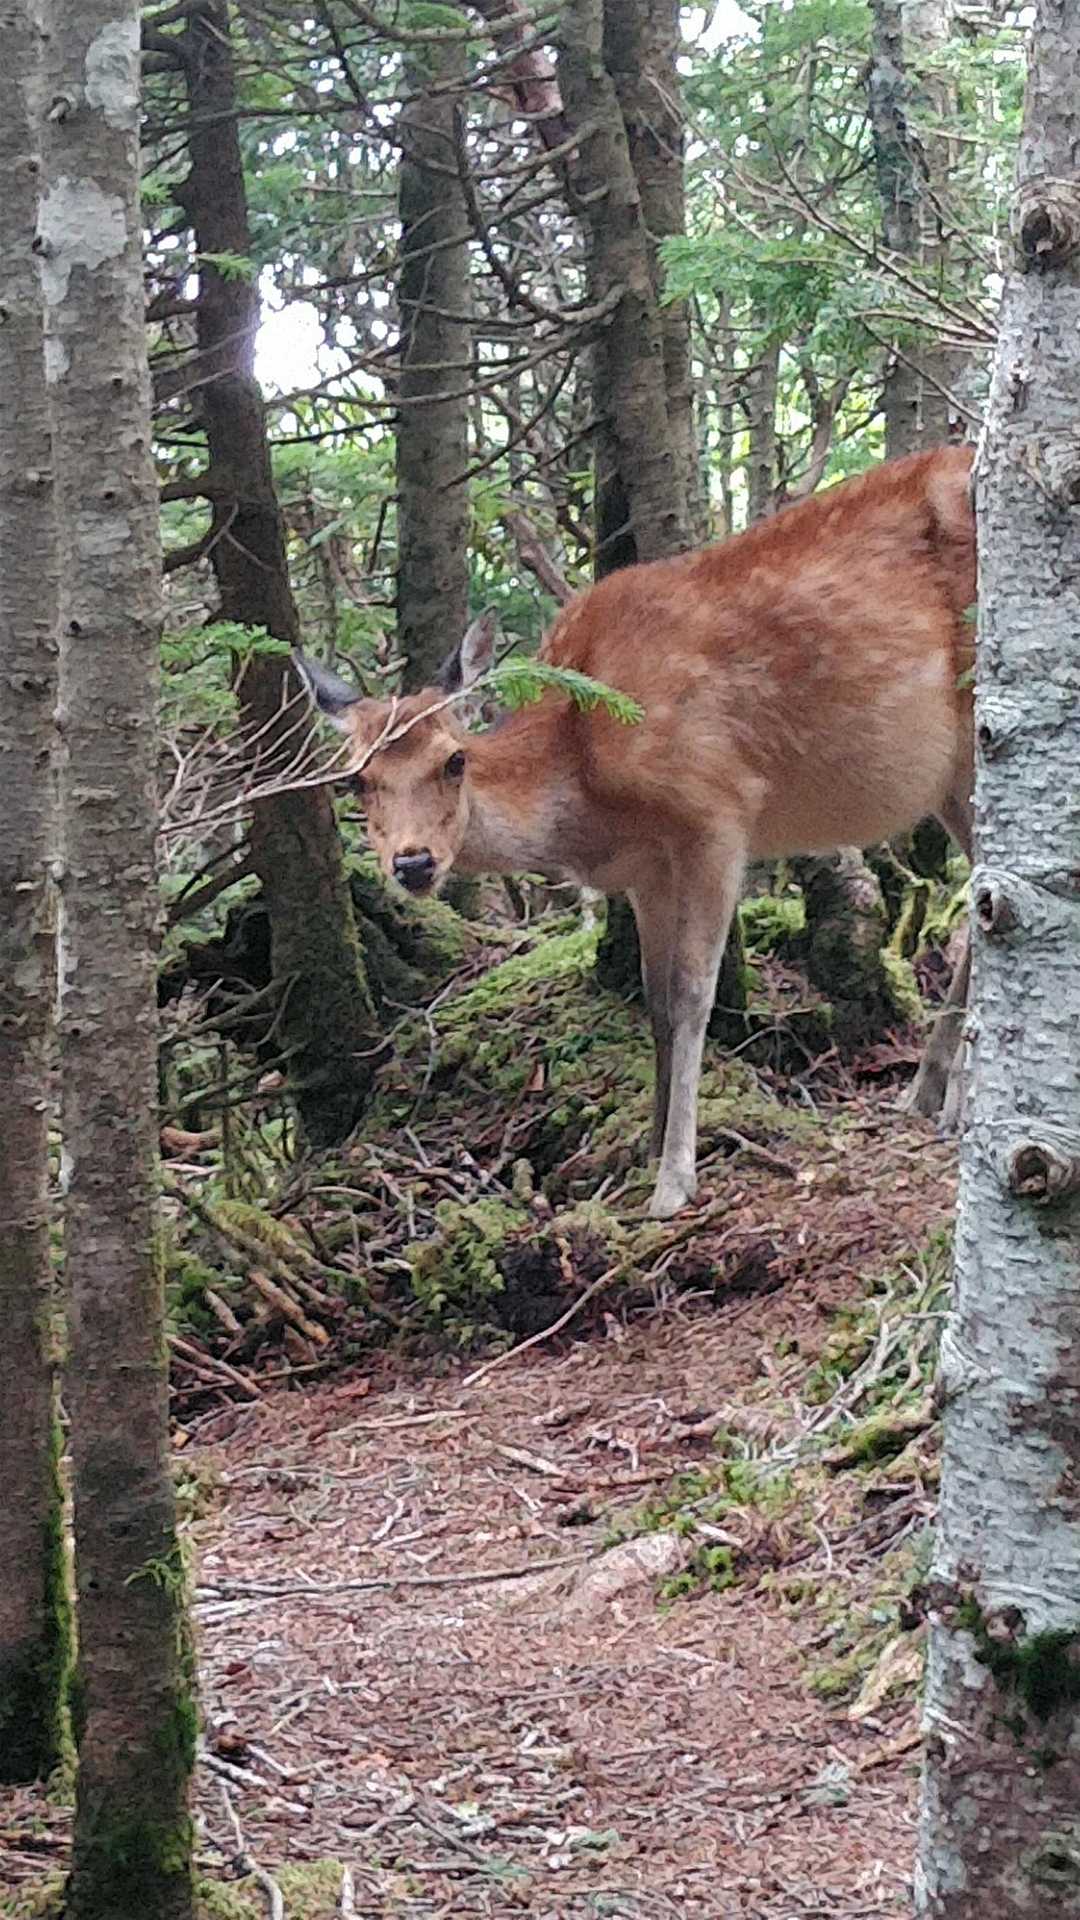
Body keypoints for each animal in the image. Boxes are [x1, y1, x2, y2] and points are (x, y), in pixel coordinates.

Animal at [298, 444, 976, 1220]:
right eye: (355, 780)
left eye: (454, 760)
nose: (412, 864)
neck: (587, 783)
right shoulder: (648, 868)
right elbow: (653, 1000)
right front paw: (645, 1151)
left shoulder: (717, 809)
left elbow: (692, 995)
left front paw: (674, 1179)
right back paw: (928, 1093)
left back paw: (949, 1097)